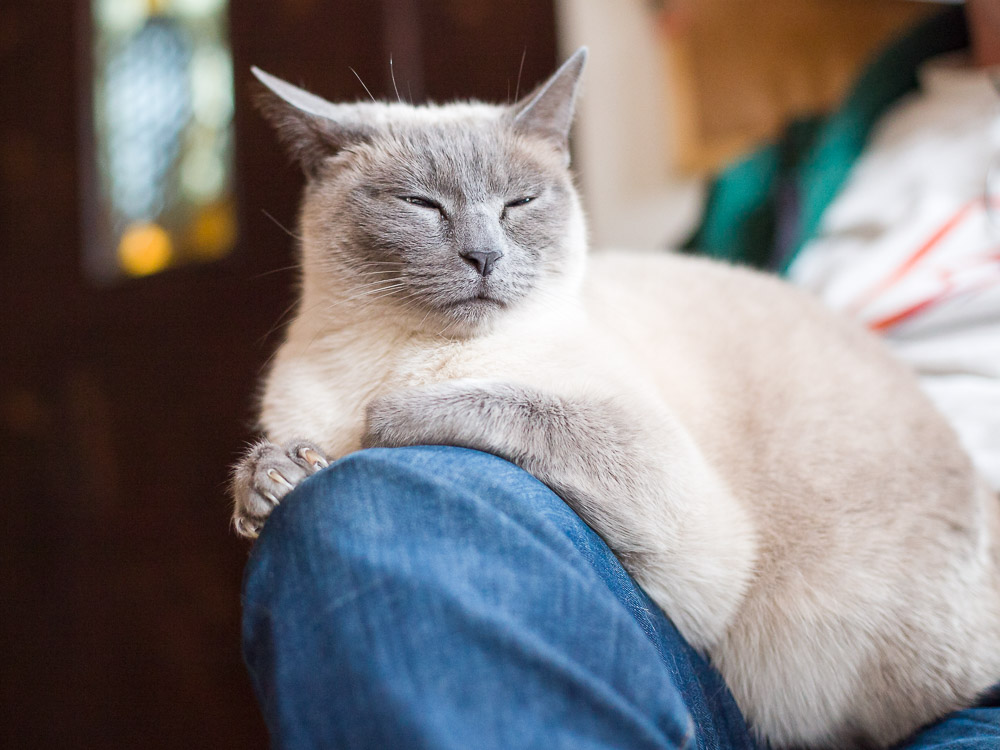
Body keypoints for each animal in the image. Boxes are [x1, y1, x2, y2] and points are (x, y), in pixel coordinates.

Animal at [230, 50, 1000, 748]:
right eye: (420, 205)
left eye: (518, 204)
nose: (485, 257)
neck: (400, 351)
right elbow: (278, 462)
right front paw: (274, 479)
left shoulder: (677, 515)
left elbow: (491, 408)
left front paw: (377, 422)